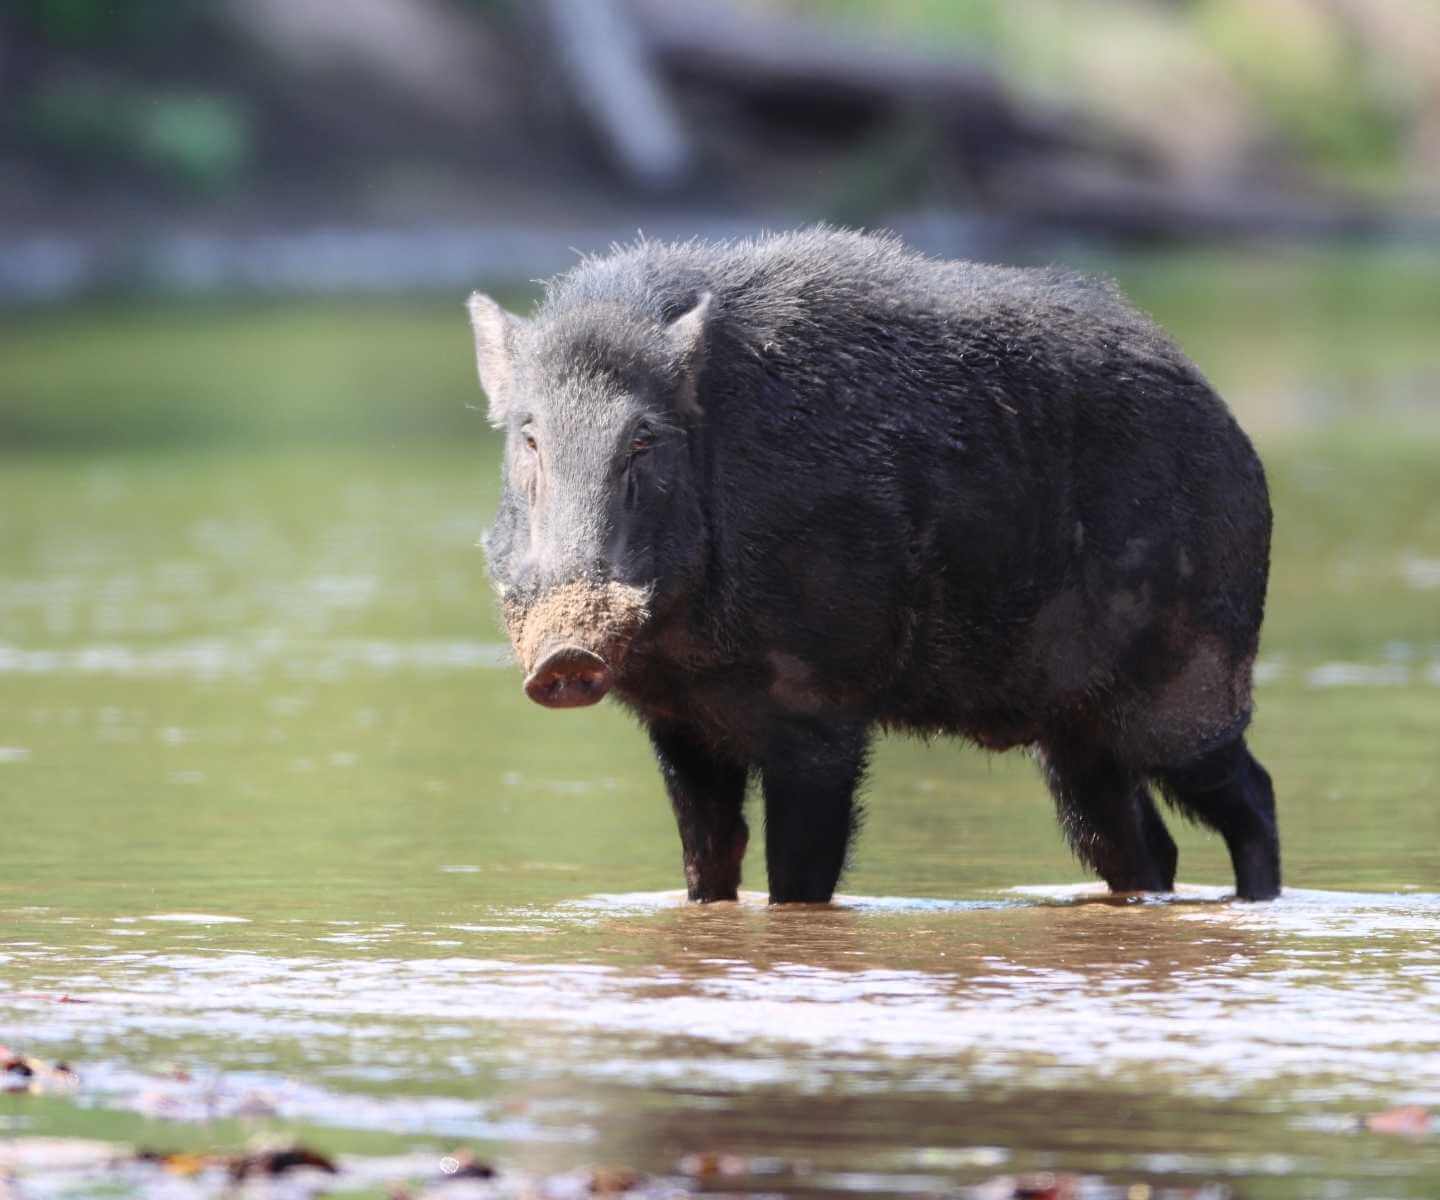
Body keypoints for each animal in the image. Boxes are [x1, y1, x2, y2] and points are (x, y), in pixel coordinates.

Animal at [467, 227, 1278, 904]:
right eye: (529, 438)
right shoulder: (681, 724)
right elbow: (709, 865)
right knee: (1141, 846)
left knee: (1253, 796)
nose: (565, 659)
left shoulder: (822, 708)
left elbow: (797, 879)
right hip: (1075, 736)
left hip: (1191, 684)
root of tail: (1236, 434)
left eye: (643, 440)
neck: (692, 654)